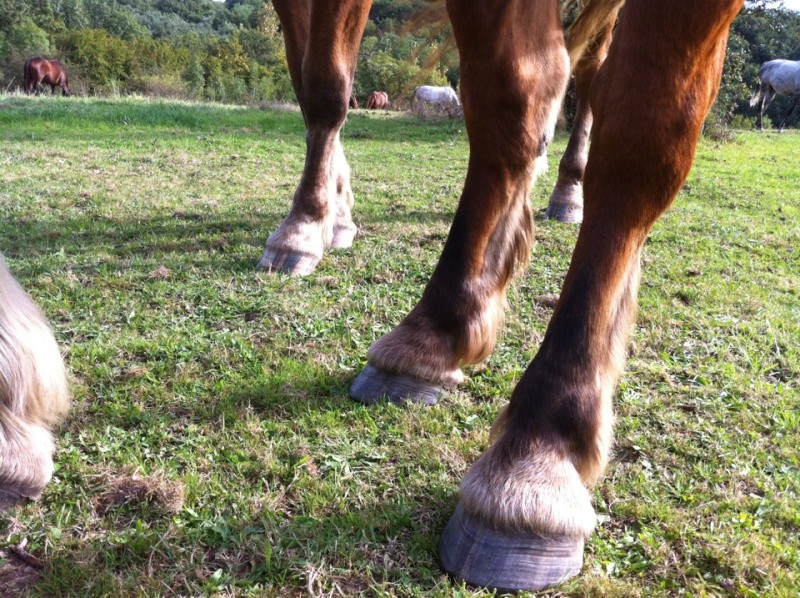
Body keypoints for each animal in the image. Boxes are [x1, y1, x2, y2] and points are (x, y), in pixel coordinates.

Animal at [264, 0, 744, 592]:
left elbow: (643, 130)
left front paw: (539, 455)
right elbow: (504, 98)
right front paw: (429, 331)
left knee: (597, 82)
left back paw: (568, 194)